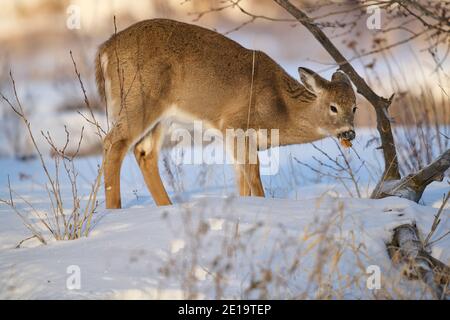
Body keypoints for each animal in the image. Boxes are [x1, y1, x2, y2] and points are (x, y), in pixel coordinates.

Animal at [96, 19, 356, 210]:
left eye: (354, 106)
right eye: (333, 107)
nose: (350, 133)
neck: (281, 107)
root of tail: (104, 49)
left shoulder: (237, 140)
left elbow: (242, 182)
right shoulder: (236, 125)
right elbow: (255, 181)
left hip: (161, 116)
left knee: (144, 151)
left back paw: (166, 207)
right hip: (138, 98)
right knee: (114, 143)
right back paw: (115, 210)